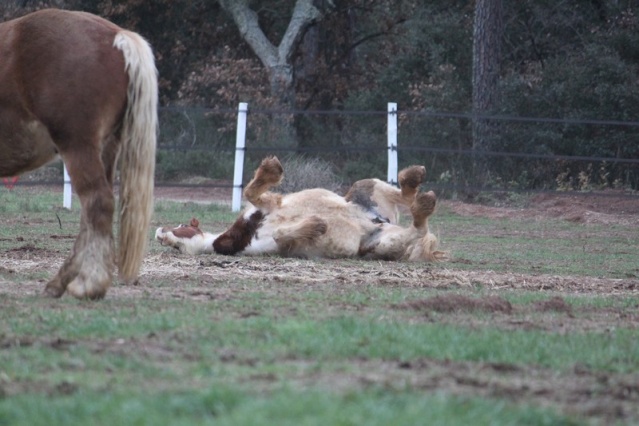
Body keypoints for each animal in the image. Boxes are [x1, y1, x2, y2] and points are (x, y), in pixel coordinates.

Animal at [0, 8, 159, 298]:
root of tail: (117, 36)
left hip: (78, 145)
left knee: (97, 202)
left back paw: (89, 283)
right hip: (105, 149)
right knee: (91, 215)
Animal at [156, 157, 444, 260]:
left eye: (181, 227)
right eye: (177, 248)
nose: (159, 233)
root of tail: (381, 221)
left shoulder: (265, 205)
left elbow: (251, 191)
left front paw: (270, 169)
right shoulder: (279, 245)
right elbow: (281, 233)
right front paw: (316, 224)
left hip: (363, 188)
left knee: (404, 196)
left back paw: (415, 180)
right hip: (379, 243)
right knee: (418, 227)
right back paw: (424, 203)